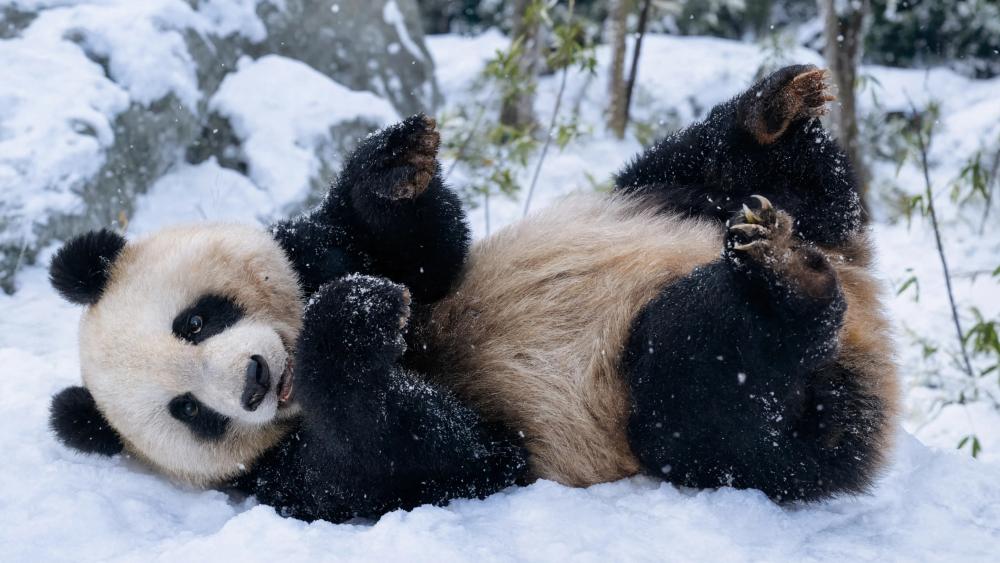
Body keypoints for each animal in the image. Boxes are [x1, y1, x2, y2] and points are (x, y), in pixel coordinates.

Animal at [47, 115, 528, 522]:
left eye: (193, 324)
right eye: (187, 408)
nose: (255, 380)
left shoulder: (312, 253)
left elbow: (422, 258)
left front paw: (395, 166)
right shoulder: (275, 476)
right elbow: (431, 458)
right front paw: (352, 320)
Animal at [415, 64, 899, 501]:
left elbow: (431, 250)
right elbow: (440, 450)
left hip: (669, 201)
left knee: (719, 169)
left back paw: (775, 108)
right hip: (716, 418)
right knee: (706, 391)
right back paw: (789, 279)